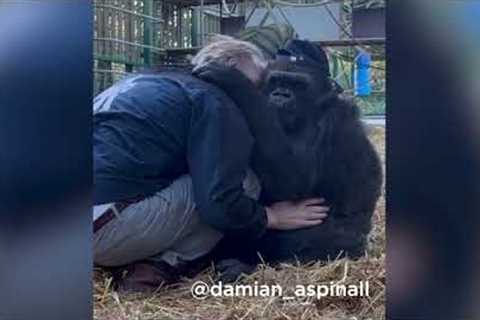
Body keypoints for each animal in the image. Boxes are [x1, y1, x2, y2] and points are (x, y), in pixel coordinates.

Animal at [195, 39, 382, 280]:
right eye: (276, 80)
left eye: (297, 84)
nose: (281, 94)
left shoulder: (337, 121)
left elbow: (294, 183)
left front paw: (234, 81)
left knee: (340, 239)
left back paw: (247, 266)